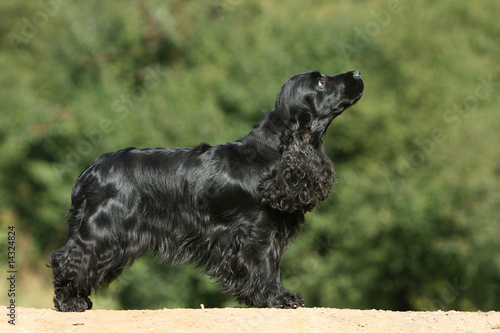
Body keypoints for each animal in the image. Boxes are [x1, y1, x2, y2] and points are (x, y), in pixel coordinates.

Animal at [48, 68, 364, 310]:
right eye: (320, 81)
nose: (358, 73)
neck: (278, 153)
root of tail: (90, 170)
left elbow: (272, 264)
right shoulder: (257, 231)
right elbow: (266, 264)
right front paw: (277, 298)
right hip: (103, 229)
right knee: (67, 258)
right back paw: (69, 302)